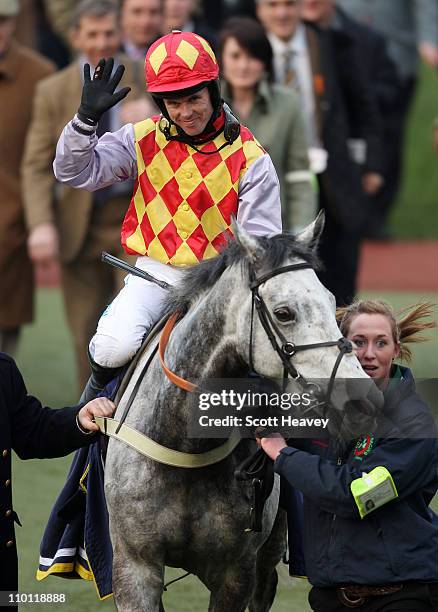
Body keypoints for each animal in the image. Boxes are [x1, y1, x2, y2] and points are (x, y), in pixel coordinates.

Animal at [102, 213, 376, 608]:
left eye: (330, 300)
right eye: (284, 312)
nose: (361, 397)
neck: (186, 447)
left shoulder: (237, 572)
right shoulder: (134, 565)